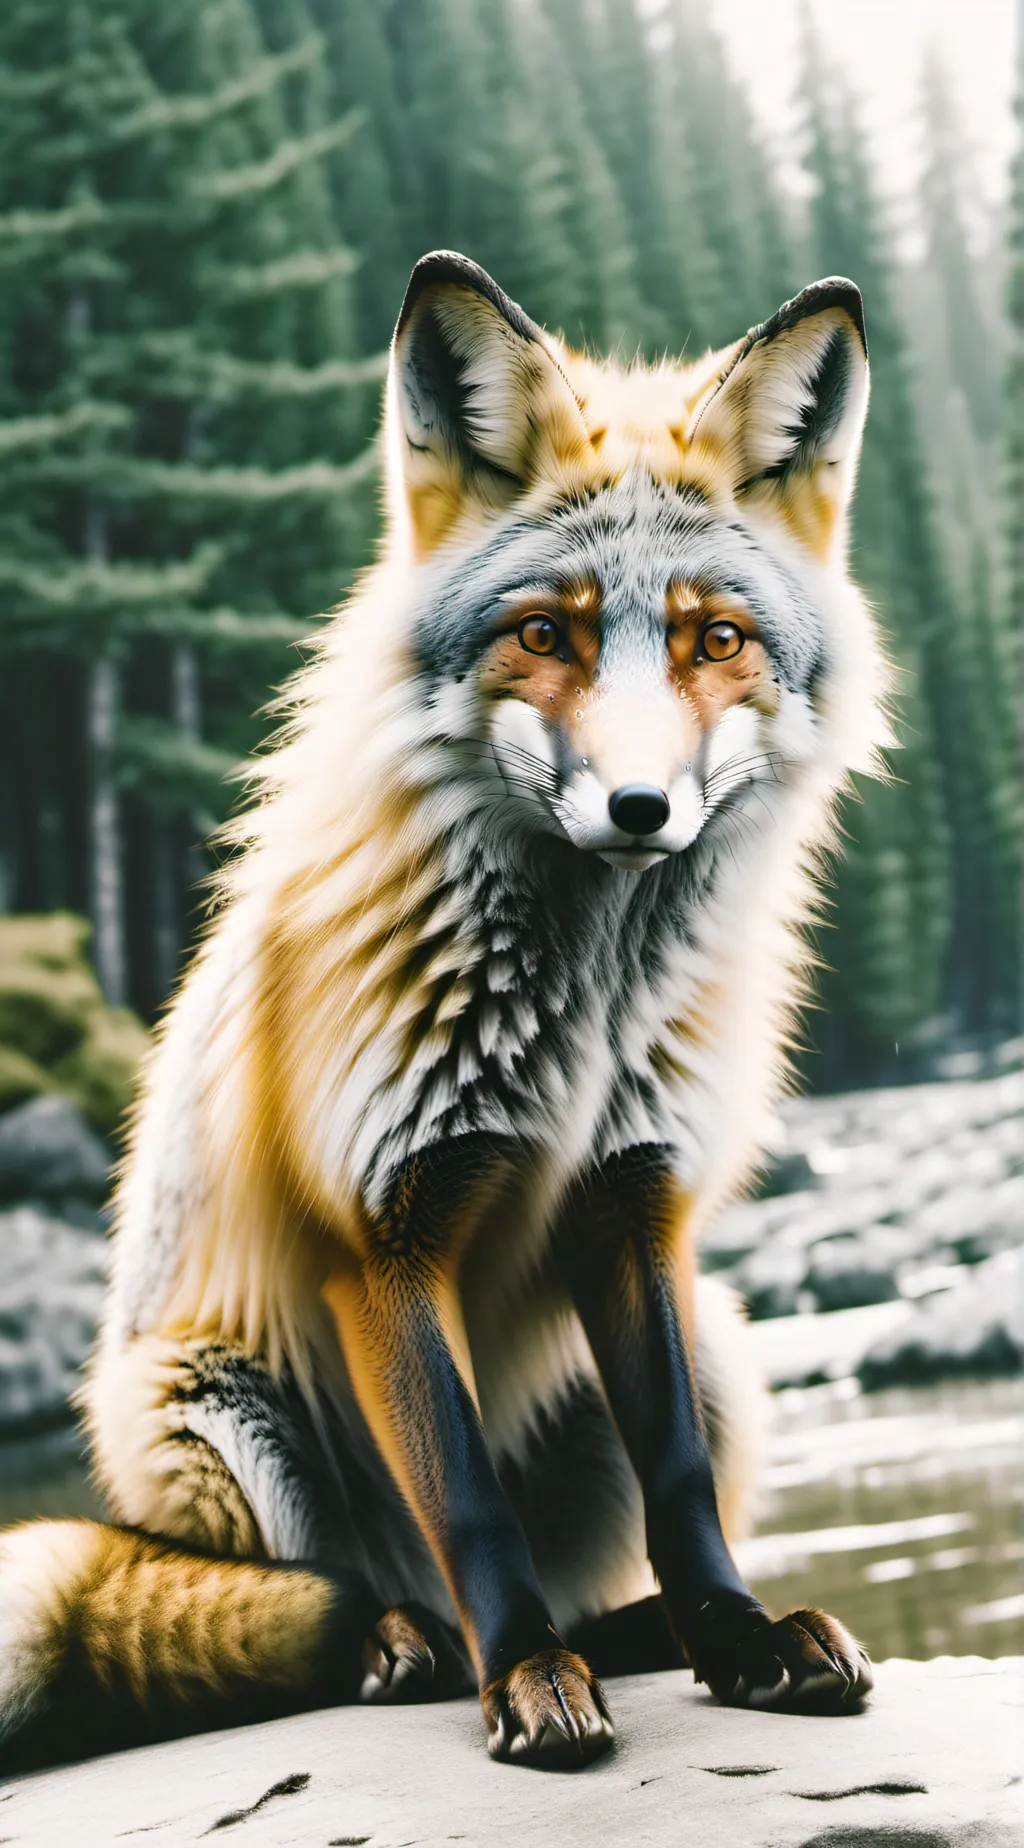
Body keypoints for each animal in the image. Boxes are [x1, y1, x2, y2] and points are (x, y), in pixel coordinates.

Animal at [0, 252, 886, 1773]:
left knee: (607, 1557)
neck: (584, 1021)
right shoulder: (386, 1229)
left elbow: (679, 1484)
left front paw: (733, 1636)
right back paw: (412, 1648)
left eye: (715, 639)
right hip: (219, 1423)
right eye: (545, 634)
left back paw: (632, 1633)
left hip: (721, 1345)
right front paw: (527, 1681)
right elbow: (467, 1500)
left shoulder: (634, 1205)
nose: (639, 810)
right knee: (348, 1592)